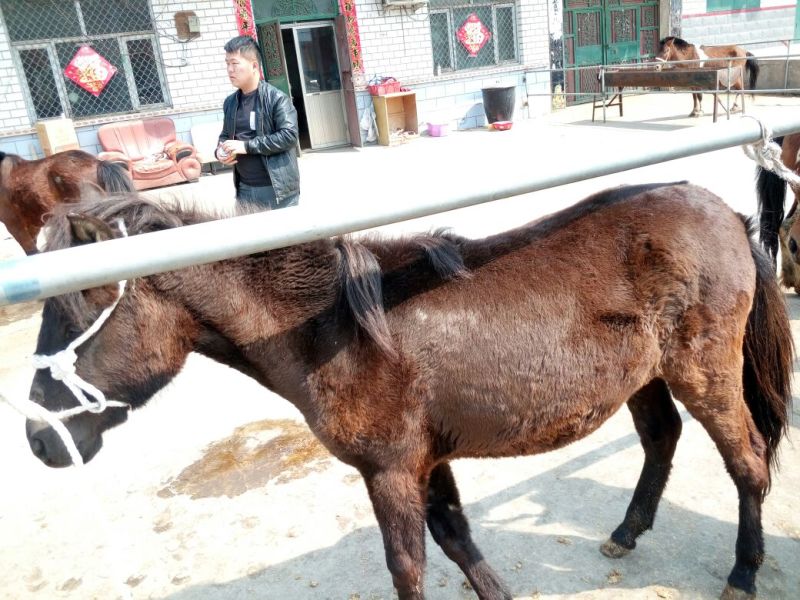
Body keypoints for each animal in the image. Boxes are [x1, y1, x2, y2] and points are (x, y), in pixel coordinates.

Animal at [24, 182, 792, 600]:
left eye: (74, 313)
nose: (38, 441)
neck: (332, 328)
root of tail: (725, 212)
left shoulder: (390, 470)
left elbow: (408, 567)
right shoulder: (426, 461)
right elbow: (456, 540)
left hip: (705, 374)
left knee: (748, 463)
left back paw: (744, 572)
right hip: (648, 376)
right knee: (662, 439)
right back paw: (627, 533)